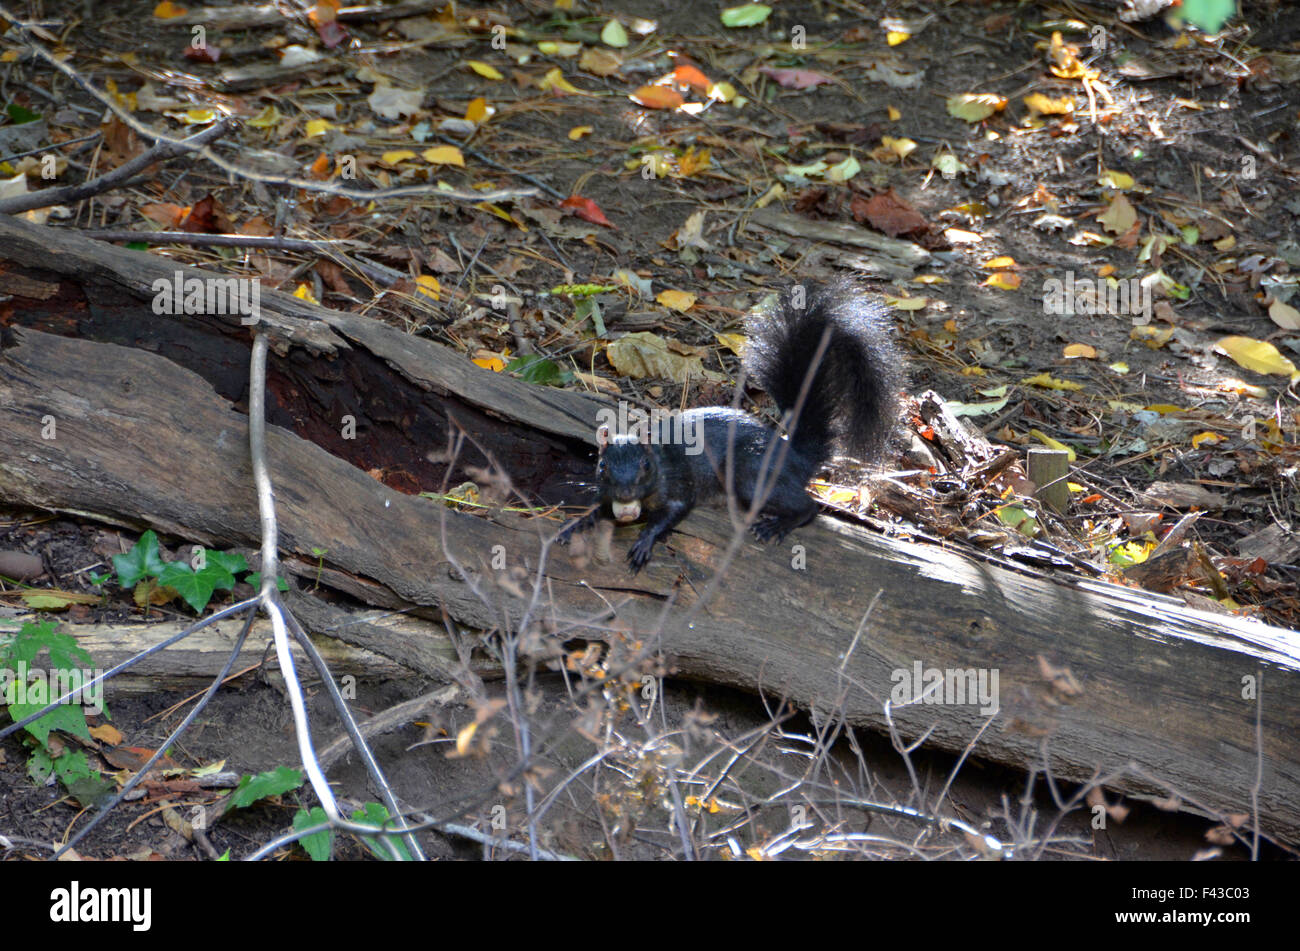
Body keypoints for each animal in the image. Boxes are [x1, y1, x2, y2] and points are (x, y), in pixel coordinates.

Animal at [555, 281, 903, 573]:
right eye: (602, 466)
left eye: (645, 466)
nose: (626, 492)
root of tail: (793, 454)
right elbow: (596, 510)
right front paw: (574, 525)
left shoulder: (680, 483)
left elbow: (675, 511)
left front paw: (645, 540)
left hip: (750, 474)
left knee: (809, 506)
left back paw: (778, 524)